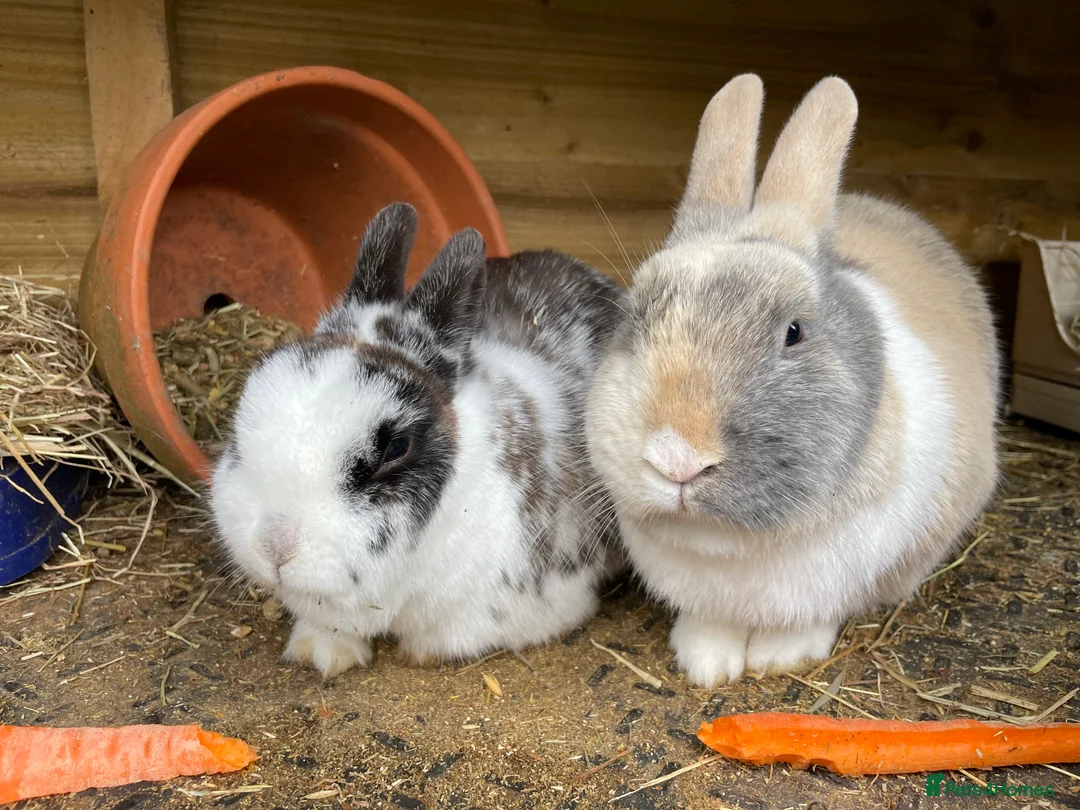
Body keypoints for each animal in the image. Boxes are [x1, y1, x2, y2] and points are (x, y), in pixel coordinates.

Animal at [585, 74, 1000, 688]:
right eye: (634, 322)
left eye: (794, 333)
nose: (677, 458)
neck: (732, 546)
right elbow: (710, 624)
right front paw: (705, 665)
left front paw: (780, 659)